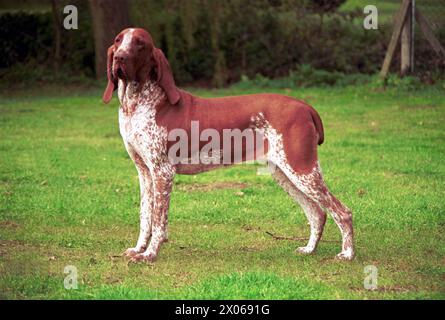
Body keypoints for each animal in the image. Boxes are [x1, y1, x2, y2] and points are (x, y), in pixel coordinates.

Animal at [101, 27, 354, 262]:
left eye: (139, 43)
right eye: (118, 40)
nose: (119, 57)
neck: (136, 104)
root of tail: (305, 106)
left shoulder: (162, 172)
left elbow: (158, 221)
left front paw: (151, 254)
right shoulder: (144, 172)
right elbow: (145, 217)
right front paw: (138, 249)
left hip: (302, 170)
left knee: (343, 212)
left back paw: (347, 254)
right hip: (285, 173)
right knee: (317, 213)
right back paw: (310, 249)